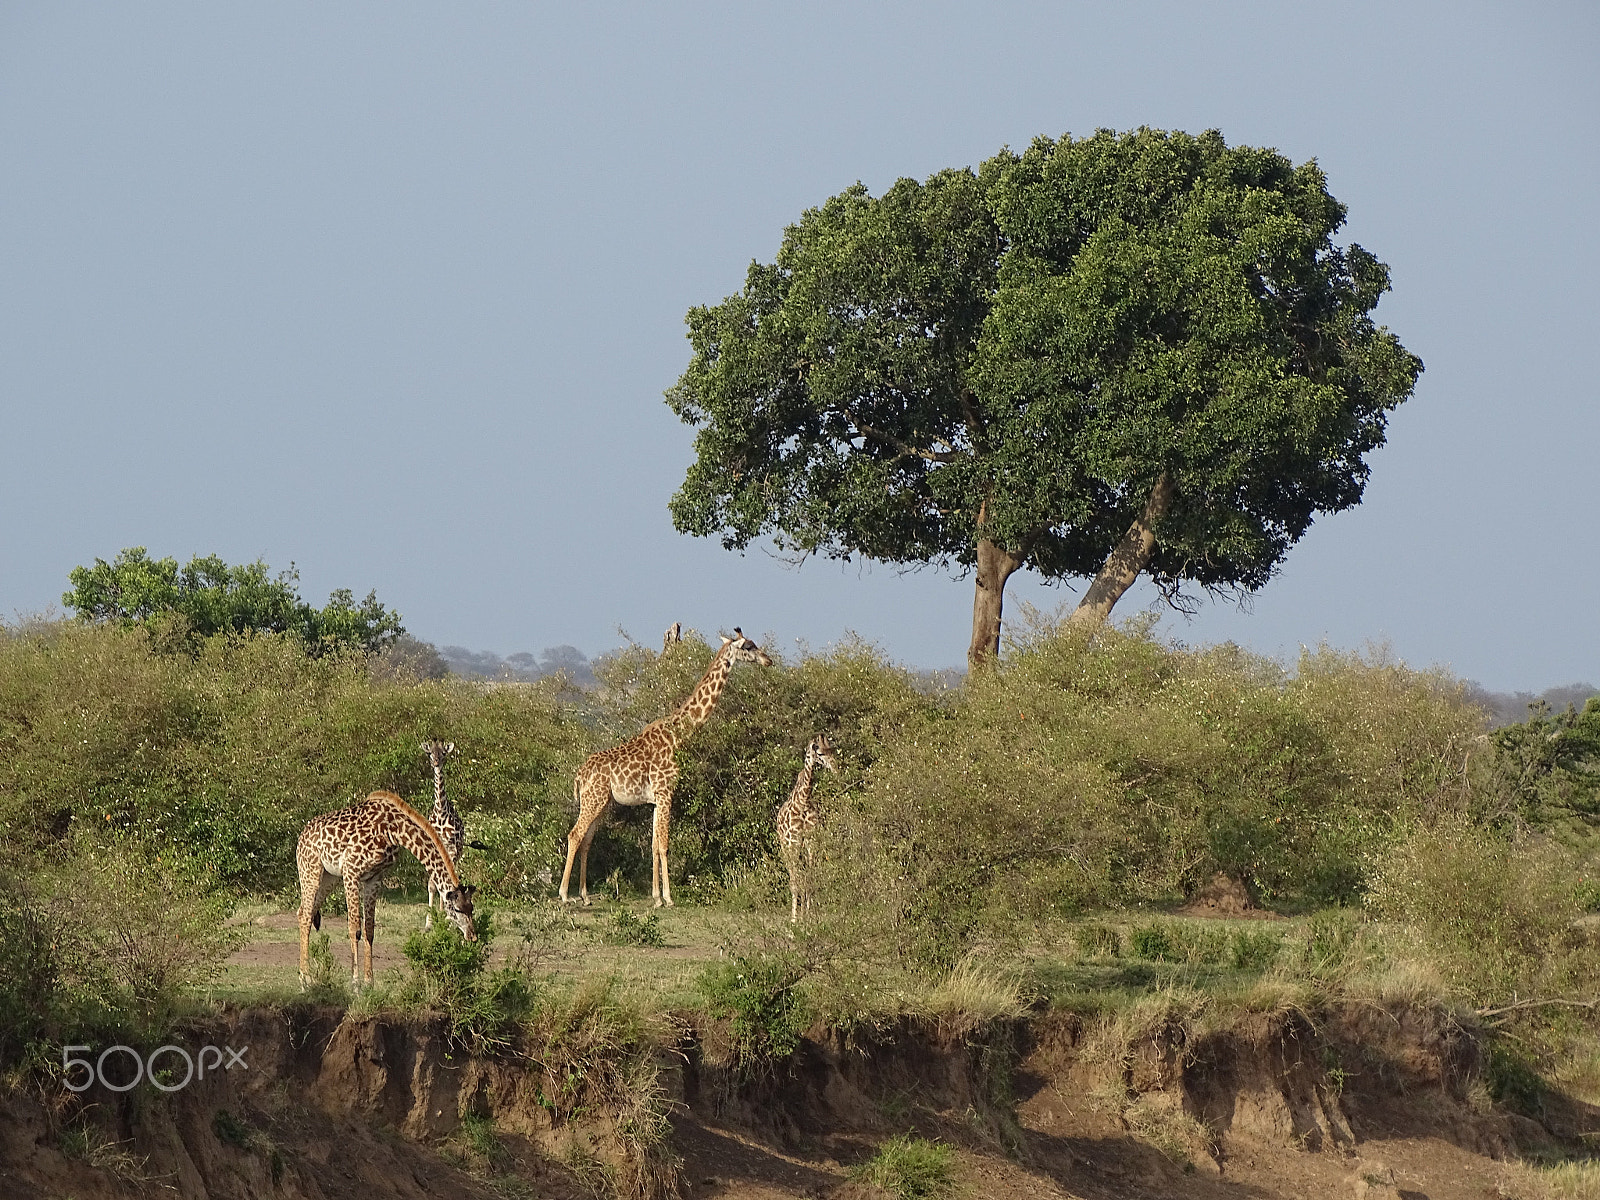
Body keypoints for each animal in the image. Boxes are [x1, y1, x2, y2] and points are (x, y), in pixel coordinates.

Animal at [297, 790, 473, 985]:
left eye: (471, 908)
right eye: (457, 910)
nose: (472, 936)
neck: (394, 830)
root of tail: (301, 836)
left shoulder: (374, 878)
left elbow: (369, 930)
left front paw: (369, 982)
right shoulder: (351, 870)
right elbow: (354, 928)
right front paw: (355, 982)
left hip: (329, 878)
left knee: (303, 911)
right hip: (311, 870)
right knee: (306, 917)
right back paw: (306, 979)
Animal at [563, 633, 774, 908]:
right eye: (749, 646)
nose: (768, 660)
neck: (678, 735)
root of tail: (580, 775)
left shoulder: (656, 799)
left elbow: (654, 845)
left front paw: (656, 897)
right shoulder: (666, 792)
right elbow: (664, 844)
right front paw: (668, 898)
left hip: (601, 801)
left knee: (587, 839)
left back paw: (585, 896)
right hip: (593, 799)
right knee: (574, 835)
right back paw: (565, 895)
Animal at [777, 732, 844, 921]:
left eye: (831, 750)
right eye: (820, 753)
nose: (836, 769)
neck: (803, 802)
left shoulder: (811, 842)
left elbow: (810, 877)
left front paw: (809, 916)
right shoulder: (794, 842)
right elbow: (796, 881)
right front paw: (795, 919)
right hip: (786, 846)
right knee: (793, 876)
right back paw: (794, 916)